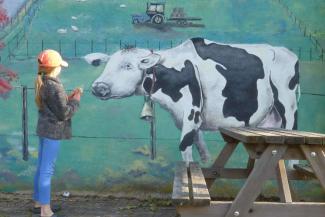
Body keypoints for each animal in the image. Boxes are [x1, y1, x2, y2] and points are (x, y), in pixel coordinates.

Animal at [84, 37, 298, 164]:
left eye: (128, 66)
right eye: (107, 64)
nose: (98, 87)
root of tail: (285, 51)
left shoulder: (191, 112)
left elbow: (184, 147)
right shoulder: (186, 119)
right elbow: (200, 149)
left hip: (288, 105)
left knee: (292, 137)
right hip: (269, 117)